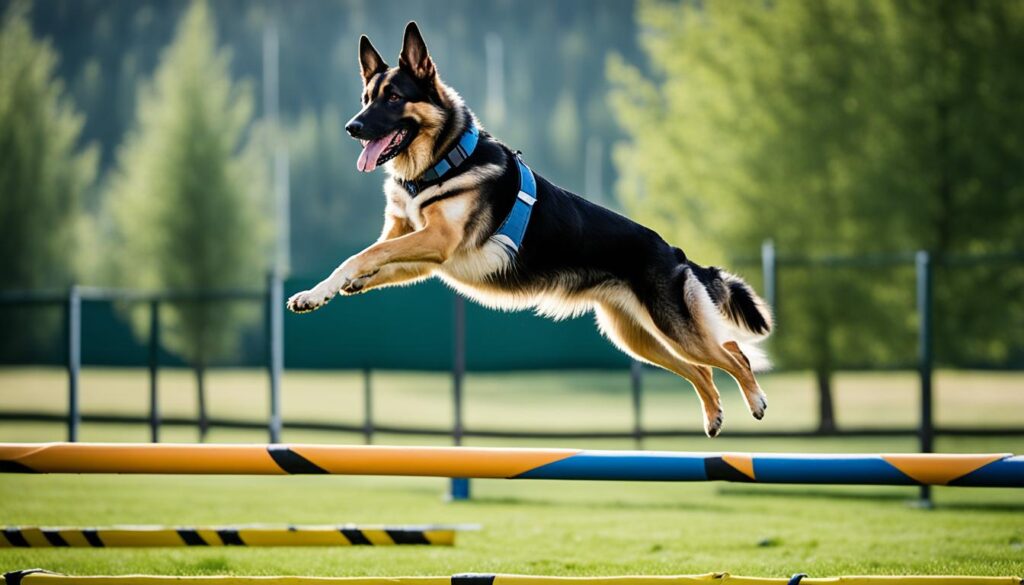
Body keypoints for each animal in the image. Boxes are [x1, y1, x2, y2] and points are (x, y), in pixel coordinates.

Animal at [284, 20, 770, 436]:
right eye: (365, 97)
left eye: (392, 98)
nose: (352, 127)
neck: (443, 160)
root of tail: (675, 253)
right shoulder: (415, 243)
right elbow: (368, 258)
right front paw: (320, 292)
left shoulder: (437, 242)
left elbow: (364, 254)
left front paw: (341, 282)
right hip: (639, 338)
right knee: (703, 367)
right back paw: (713, 415)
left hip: (674, 330)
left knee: (732, 354)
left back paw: (756, 400)